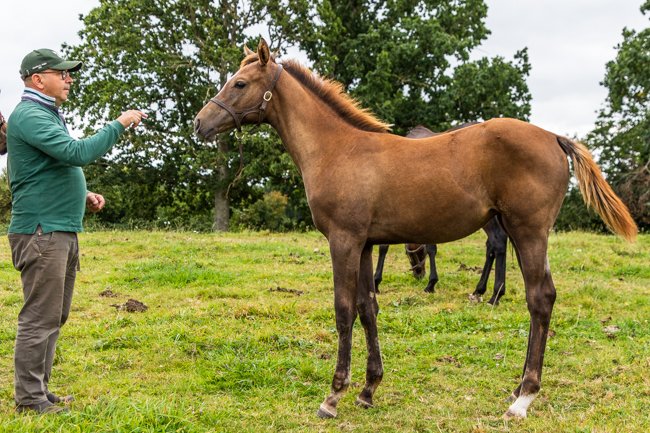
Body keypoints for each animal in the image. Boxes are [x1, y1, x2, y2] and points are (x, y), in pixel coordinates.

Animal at [374, 125, 509, 305]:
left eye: (414, 254)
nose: (419, 274)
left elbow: (387, 246)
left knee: (497, 241)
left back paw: (495, 294)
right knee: (492, 246)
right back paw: (480, 290)